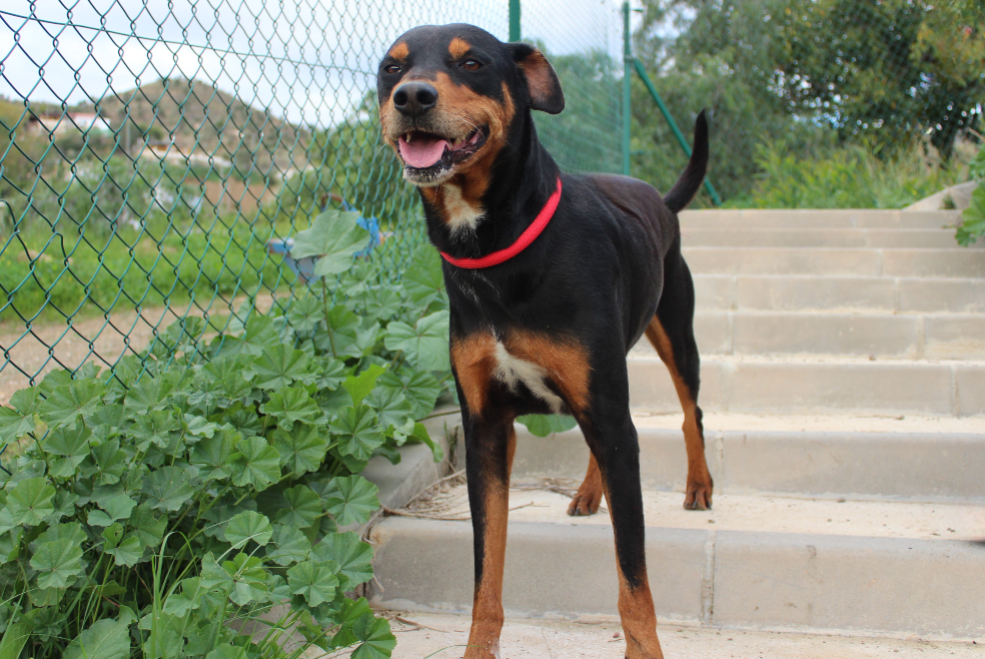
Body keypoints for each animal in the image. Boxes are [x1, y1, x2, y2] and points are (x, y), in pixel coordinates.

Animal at [380, 23, 712, 659]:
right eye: (391, 67)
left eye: (473, 62)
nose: (411, 97)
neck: (496, 251)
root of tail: (659, 199)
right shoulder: (486, 429)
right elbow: (486, 570)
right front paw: (479, 648)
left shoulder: (611, 417)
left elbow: (633, 579)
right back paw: (588, 492)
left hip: (677, 338)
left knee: (692, 412)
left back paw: (700, 485)